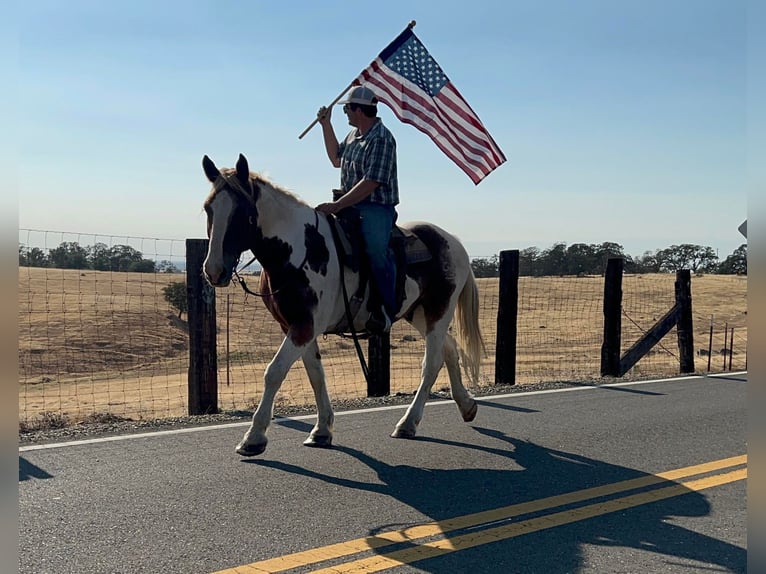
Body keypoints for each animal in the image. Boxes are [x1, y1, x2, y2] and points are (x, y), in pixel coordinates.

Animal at [201, 154, 484, 460]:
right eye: (208, 208)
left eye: (242, 212)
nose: (214, 270)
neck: (301, 249)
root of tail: (454, 242)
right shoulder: (296, 326)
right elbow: (316, 374)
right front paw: (322, 430)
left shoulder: (304, 325)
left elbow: (274, 372)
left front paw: (253, 438)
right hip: (419, 314)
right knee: (450, 349)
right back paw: (466, 405)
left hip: (438, 311)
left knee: (431, 363)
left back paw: (408, 423)